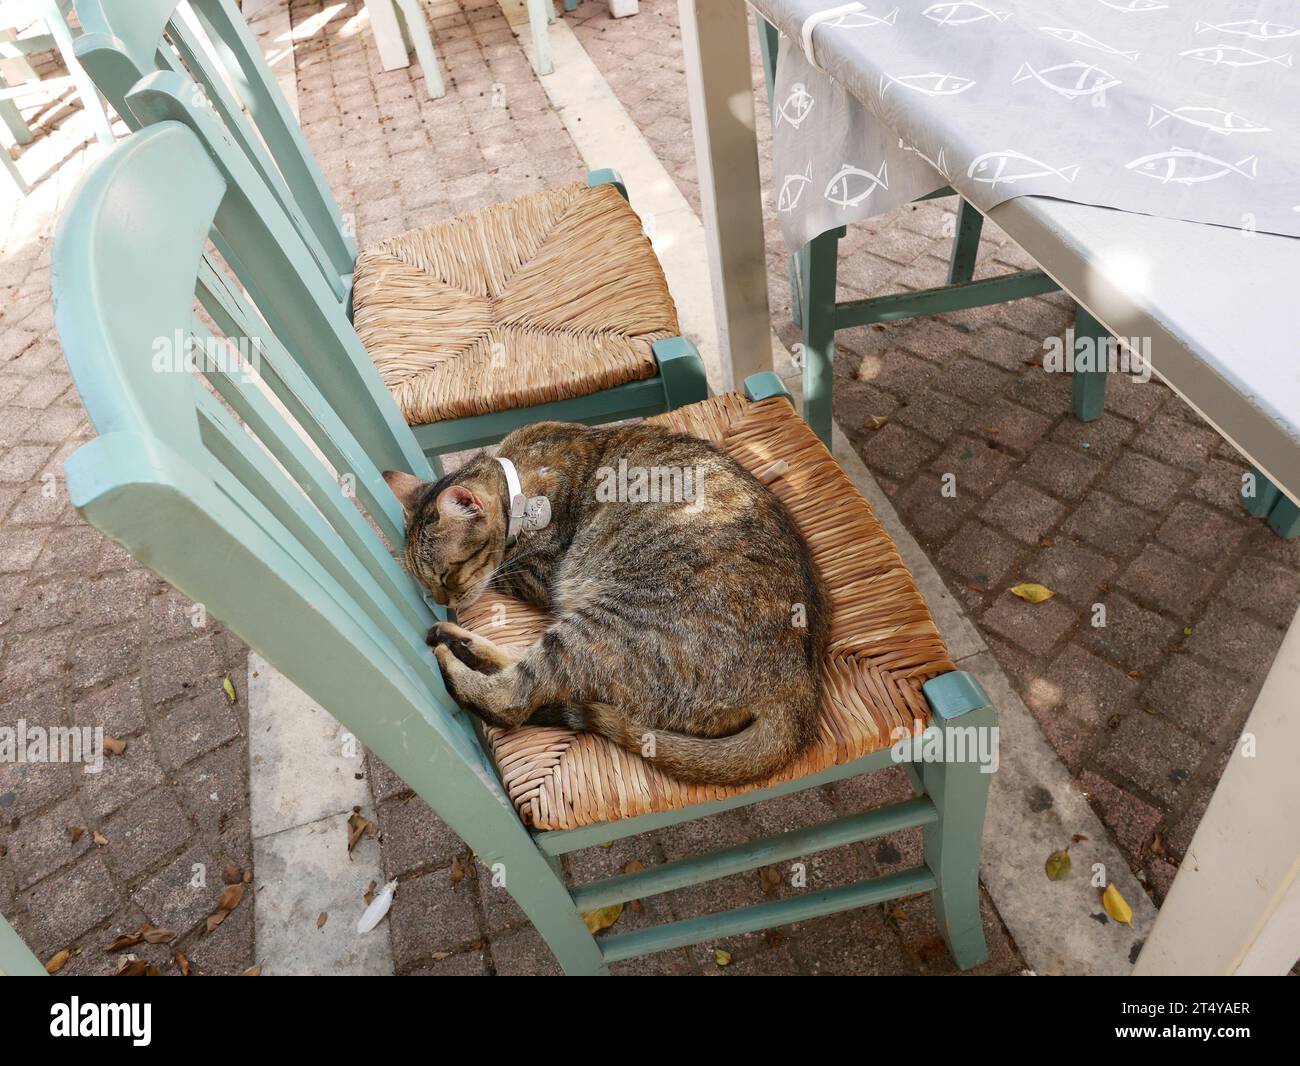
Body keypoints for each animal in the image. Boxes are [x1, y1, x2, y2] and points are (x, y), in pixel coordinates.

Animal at [384, 421, 826, 785]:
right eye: (426, 581)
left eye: (445, 575)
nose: (439, 599)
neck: (514, 472)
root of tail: (797, 685)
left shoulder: (537, 574)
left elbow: (502, 574)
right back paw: (456, 639)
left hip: (606, 624)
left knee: (513, 700)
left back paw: (448, 651)